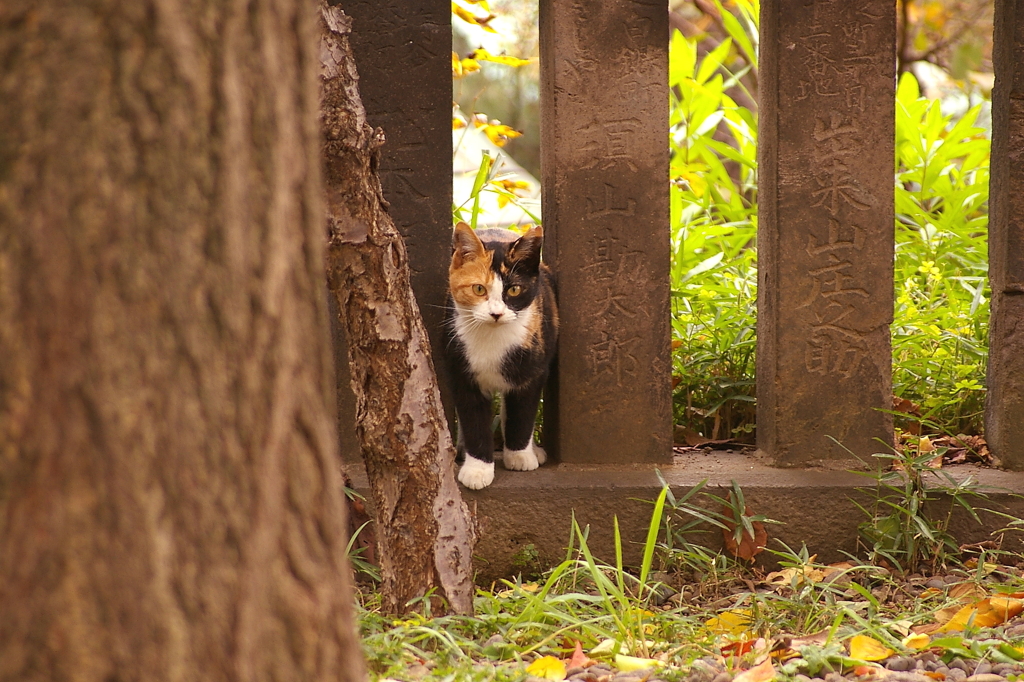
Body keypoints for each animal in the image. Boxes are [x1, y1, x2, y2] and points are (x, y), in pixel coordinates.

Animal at [442, 220, 557, 485]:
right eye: (478, 289)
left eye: (514, 290)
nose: (496, 313)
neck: (492, 340)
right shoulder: (461, 373)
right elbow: (473, 419)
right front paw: (477, 469)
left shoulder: (534, 372)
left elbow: (522, 414)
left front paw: (519, 456)